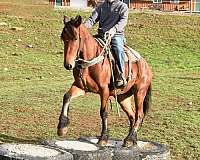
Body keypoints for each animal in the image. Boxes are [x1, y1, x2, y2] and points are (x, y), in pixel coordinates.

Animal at [57, 15, 152, 147]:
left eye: (75, 38)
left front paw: (103, 138)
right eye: (63, 38)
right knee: (132, 115)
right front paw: (62, 127)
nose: (68, 65)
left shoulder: (104, 91)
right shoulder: (81, 87)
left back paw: (129, 139)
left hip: (140, 92)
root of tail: (146, 65)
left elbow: (104, 112)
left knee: (139, 115)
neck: (90, 61)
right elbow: (66, 97)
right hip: (123, 97)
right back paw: (132, 139)